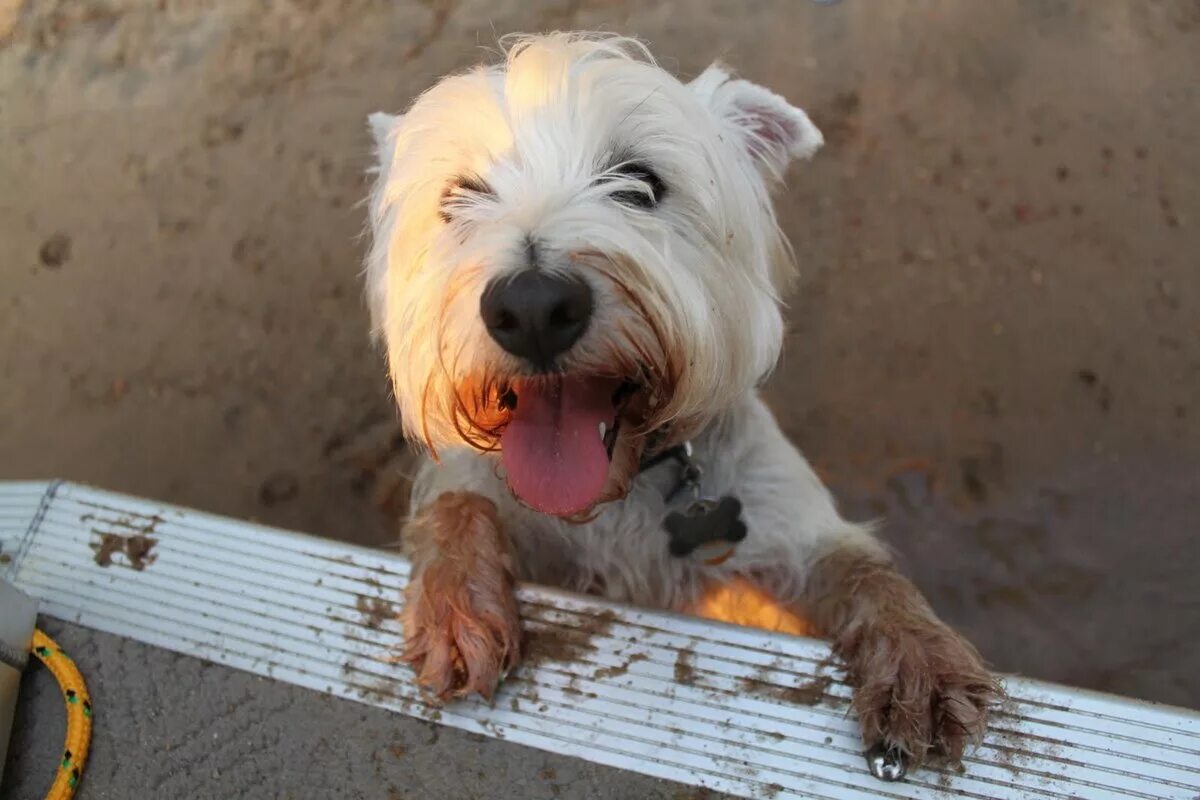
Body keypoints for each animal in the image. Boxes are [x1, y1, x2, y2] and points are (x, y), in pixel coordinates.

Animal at [360, 32, 998, 767]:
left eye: (640, 183)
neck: (622, 489)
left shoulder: (786, 531)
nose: (533, 308)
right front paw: (453, 608)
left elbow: (863, 570)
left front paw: (921, 660)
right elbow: (457, 504)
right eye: (461, 196)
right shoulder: (490, 493)